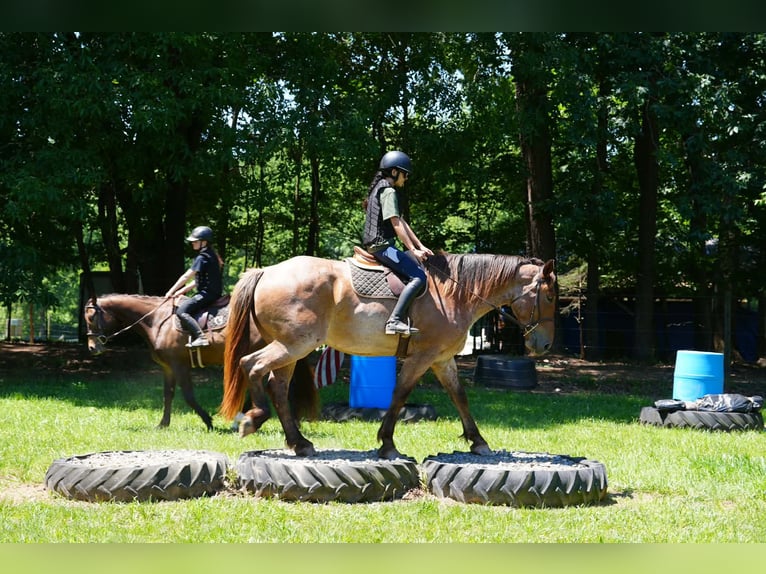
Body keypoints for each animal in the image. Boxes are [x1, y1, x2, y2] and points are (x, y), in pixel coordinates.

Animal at [84, 293, 317, 430]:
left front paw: (208, 421)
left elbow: (188, 396)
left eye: (91, 318)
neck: (157, 321)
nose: (92, 348)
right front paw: (163, 424)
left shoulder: (180, 366)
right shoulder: (168, 368)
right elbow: (168, 395)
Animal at [220, 252, 557, 459]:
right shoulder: (422, 358)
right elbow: (400, 394)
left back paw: (299, 443)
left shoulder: (442, 359)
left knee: (277, 386)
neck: (456, 293)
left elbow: (459, 396)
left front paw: (478, 441)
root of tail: (266, 271)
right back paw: (254, 418)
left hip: (291, 349)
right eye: (551, 297)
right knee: (251, 365)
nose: (545, 346)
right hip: (293, 345)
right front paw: (387, 444)